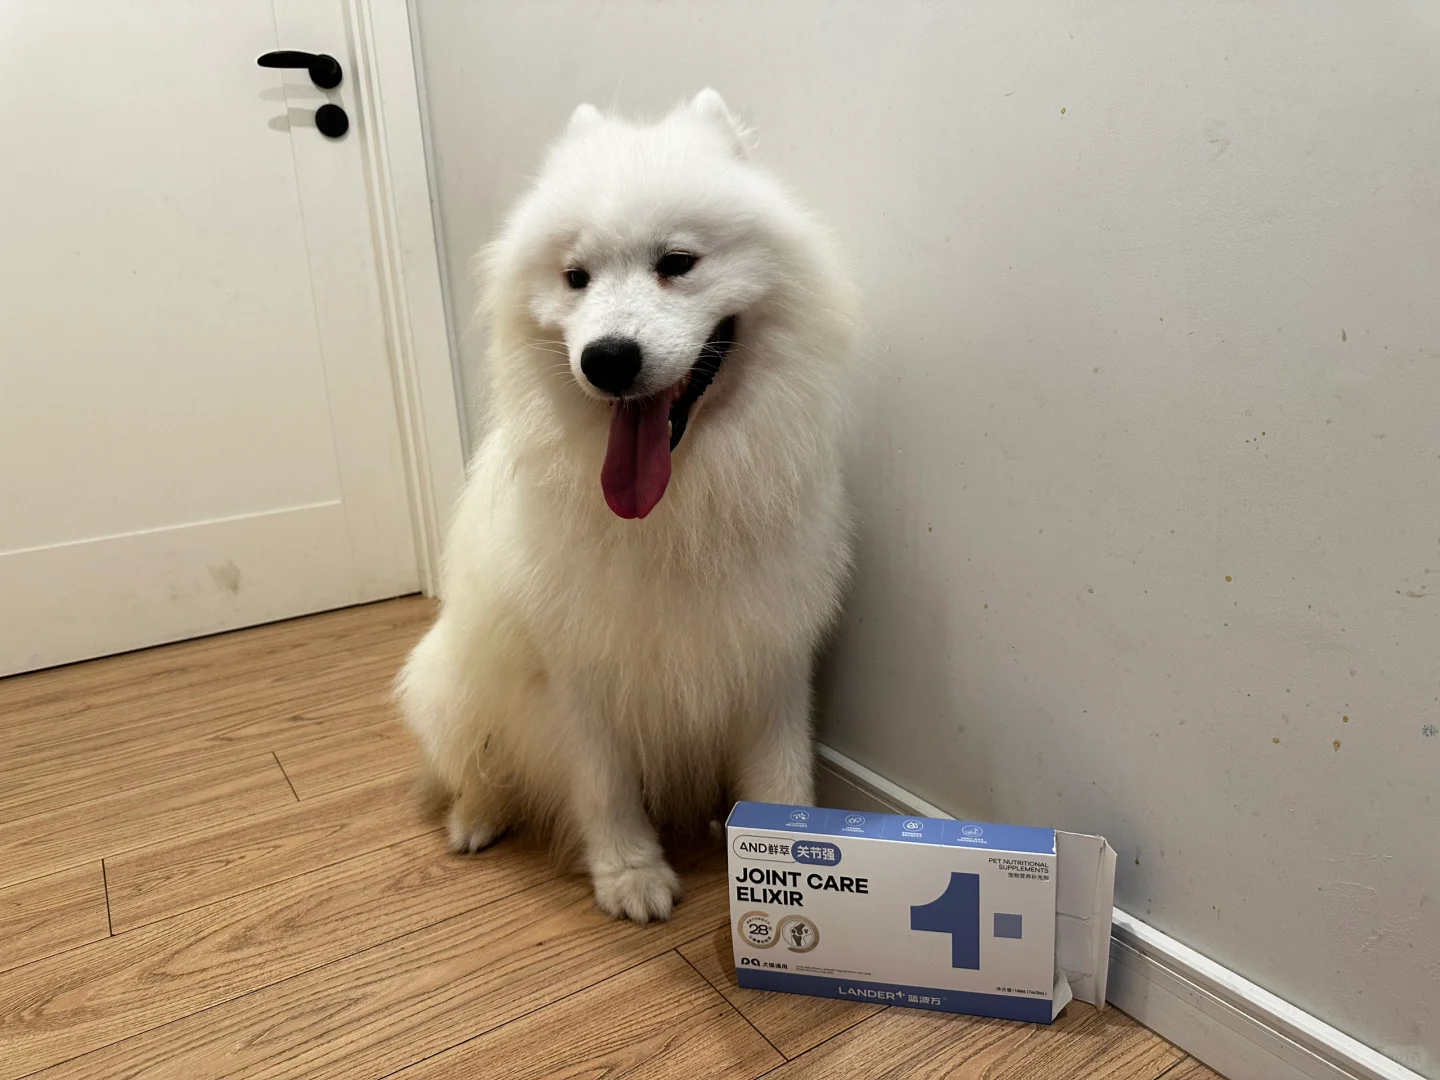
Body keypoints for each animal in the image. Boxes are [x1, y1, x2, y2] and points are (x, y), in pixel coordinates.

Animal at [397, 89, 859, 922]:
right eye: (575, 277)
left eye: (677, 263)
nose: (607, 359)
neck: (678, 510)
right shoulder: (577, 667)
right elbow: (604, 785)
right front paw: (630, 875)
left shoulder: (772, 652)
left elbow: (781, 776)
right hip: (444, 684)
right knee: (475, 766)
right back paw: (476, 818)